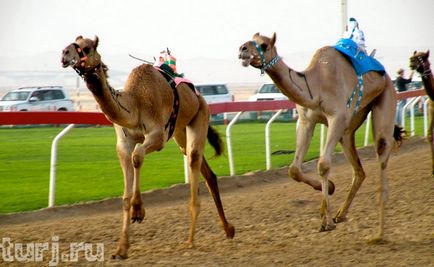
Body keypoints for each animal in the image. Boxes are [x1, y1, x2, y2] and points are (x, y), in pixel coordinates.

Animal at [60, 35, 234, 260]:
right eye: (73, 43)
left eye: (87, 48)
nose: (64, 53)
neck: (134, 103)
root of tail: (198, 95)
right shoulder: (123, 144)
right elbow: (125, 192)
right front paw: (121, 249)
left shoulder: (158, 136)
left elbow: (138, 155)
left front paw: (138, 211)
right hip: (180, 132)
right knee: (207, 172)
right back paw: (228, 229)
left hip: (201, 115)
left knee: (194, 159)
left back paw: (190, 240)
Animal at [237, 33, 404, 243]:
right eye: (250, 39)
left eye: (264, 45)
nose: (242, 49)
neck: (314, 85)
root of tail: (386, 75)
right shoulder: (306, 121)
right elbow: (294, 170)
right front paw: (331, 189)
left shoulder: (337, 118)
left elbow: (323, 164)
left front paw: (326, 222)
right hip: (349, 129)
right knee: (359, 171)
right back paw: (341, 214)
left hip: (386, 97)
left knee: (381, 152)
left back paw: (378, 235)